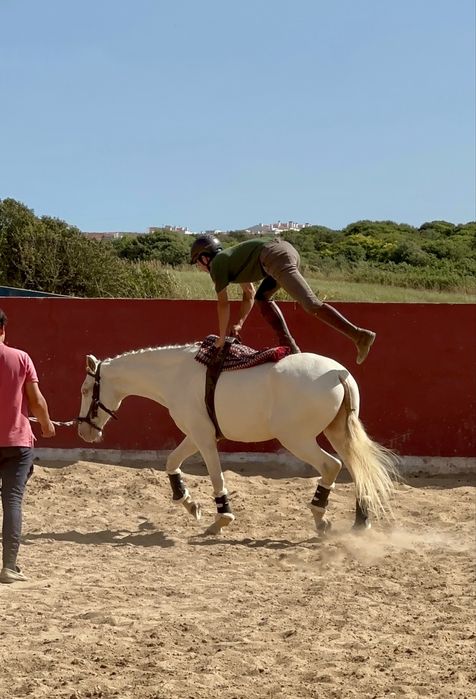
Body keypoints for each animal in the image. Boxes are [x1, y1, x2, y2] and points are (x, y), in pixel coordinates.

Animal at [77, 343, 398, 535]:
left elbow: (216, 476)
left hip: (297, 439)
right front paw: (189, 503)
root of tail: (337, 374)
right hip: (337, 434)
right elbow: (171, 462)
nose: (83, 431)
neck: (179, 374)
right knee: (359, 470)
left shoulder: (204, 438)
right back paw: (361, 521)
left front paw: (221, 518)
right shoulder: (193, 435)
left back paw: (320, 517)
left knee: (332, 466)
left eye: (85, 390)